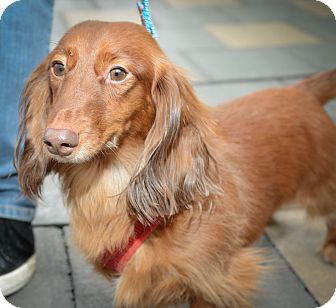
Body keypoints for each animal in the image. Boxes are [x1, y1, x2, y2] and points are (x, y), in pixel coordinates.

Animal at [15, 20, 336, 306]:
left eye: (118, 73)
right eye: (58, 67)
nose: (56, 141)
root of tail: (302, 90)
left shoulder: (216, 284)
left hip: (323, 188)